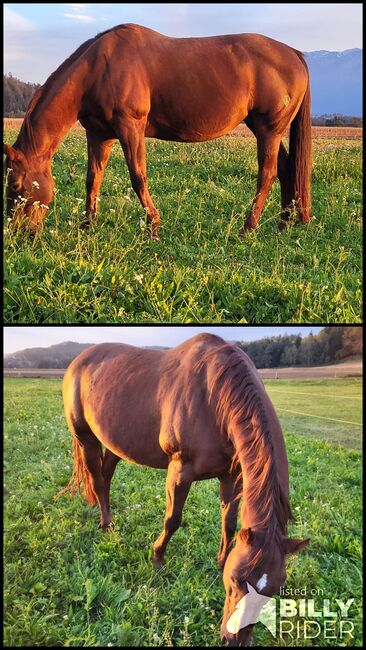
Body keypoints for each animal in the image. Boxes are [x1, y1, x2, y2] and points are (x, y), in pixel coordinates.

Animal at [3, 24, 312, 240]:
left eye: (16, 185)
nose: (19, 232)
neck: (98, 69)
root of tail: (295, 55)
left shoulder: (131, 128)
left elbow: (138, 177)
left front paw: (152, 227)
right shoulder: (99, 134)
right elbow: (93, 179)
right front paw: (87, 226)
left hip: (269, 130)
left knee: (267, 175)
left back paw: (248, 228)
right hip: (264, 129)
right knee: (286, 170)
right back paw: (282, 225)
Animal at [58, 334, 308, 644]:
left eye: (274, 589)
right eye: (236, 580)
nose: (234, 640)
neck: (214, 396)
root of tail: (78, 362)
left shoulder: (231, 477)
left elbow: (228, 523)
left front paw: (220, 559)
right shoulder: (180, 469)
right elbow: (173, 519)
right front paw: (157, 559)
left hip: (114, 445)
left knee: (105, 479)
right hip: (87, 439)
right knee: (97, 480)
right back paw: (106, 526)